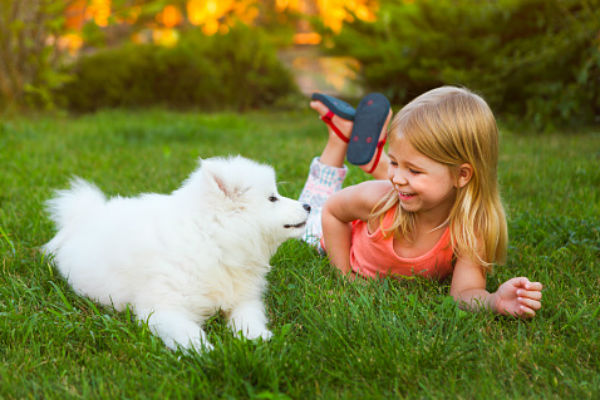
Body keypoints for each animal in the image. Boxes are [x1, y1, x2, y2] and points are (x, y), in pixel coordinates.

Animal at [44, 155, 312, 352]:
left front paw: (256, 338)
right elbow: (188, 331)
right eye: (272, 198)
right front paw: (205, 352)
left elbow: (248, 316)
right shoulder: (163, 308)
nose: (308, 205)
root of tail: (85, 216)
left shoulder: (243, 298)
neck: (211, 240)